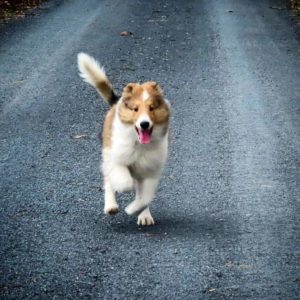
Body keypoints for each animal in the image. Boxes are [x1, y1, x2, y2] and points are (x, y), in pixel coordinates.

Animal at [77, 53, 171, 225]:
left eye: (152, 108)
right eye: (135, 109)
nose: (144, 124)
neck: (139, 145)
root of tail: (116, 102)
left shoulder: (151, 171)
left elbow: (145, 197)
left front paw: (135, 210)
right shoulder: (117, 158)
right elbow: (124, 181)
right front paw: (124, 189)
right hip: (107, 154)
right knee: (108, 179)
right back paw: (111, 206)